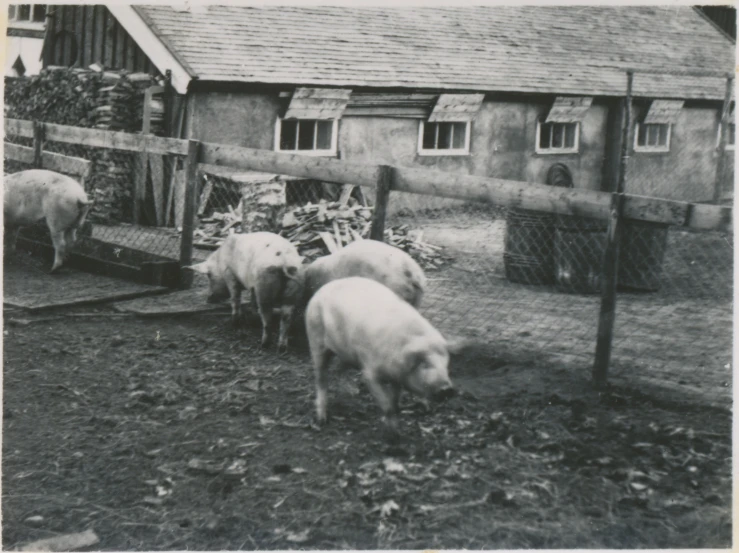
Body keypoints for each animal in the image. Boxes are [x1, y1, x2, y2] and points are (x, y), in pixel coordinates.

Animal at [304, 276, 454, 432]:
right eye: (424, 363)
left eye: (446, 364)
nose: (448, 389)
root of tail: (321, 290)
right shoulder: (370, 372)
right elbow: (386, 405)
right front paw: (391, 433)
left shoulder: (397, 378)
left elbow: (394, 403)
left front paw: (396, 430)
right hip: (315, 337)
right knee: (321, 378)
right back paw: (321, 420)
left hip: (345, 352)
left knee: (338, 370)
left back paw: (348, 394)